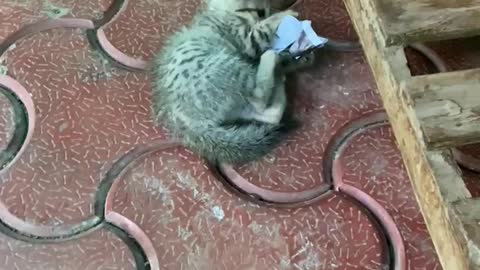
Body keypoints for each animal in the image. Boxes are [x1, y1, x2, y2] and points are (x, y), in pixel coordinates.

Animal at [152, 0, 314, 165]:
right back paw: (271, 59)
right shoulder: (245, 40)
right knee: (259, 97)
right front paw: (284, 16)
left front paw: (298, 57)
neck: (221, 13)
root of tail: (186, 123)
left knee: (270, 114)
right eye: (261, 12)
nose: (263, 16)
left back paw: (279, 81)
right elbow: (260, 33)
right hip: (226, 69)